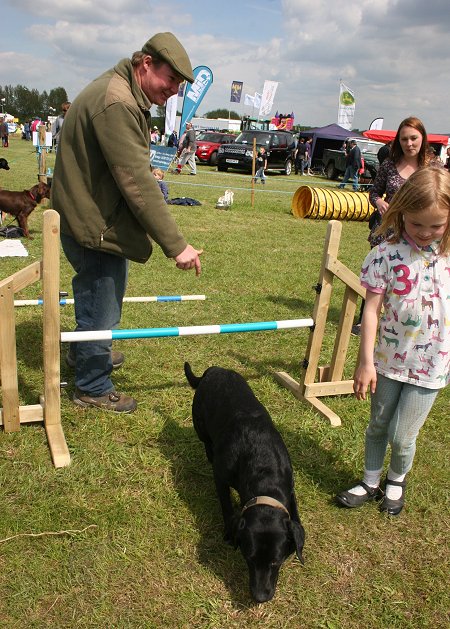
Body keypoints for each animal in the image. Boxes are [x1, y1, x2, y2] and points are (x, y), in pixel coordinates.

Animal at [184, 364, 306, 604]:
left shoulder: (290, 485)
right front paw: (227, 533)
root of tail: (214, 369)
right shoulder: (221, 478)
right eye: (248, 558)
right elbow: (226, 507)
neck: (263, 470)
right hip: (200, 426)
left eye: (276, 562)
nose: (260, 597)